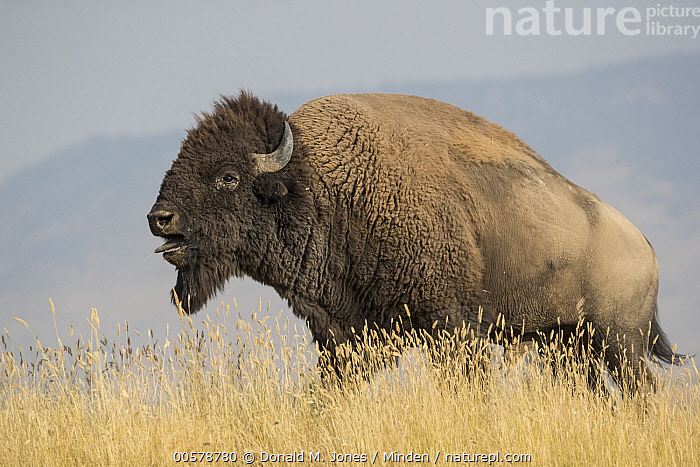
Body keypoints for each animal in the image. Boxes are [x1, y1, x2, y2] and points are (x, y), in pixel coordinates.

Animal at [148, 92, 684, 392]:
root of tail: (645, 245)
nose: (159, 218)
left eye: (229, 177)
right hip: (569, 347)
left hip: (619, 344)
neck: (323, 188)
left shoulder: (453, 328)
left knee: (642, 392)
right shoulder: (345, 337)